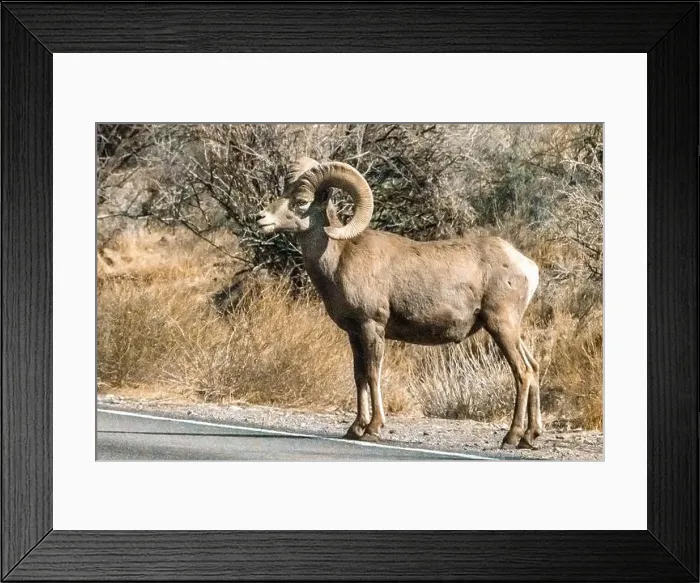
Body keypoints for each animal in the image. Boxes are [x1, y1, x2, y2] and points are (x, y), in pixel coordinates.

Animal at [257, 157, 542, 449]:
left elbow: (373, 374)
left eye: (301, 201)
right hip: (510, 330)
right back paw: (529, 437)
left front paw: (373, 429)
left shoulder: (372, 327)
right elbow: (359, 376)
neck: (340, 258)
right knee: (534, 367)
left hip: (500, 326)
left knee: (522, 372)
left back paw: (511, 437)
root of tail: (528, 266)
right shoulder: (354, 334)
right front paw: (354, 428)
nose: (261, 218)